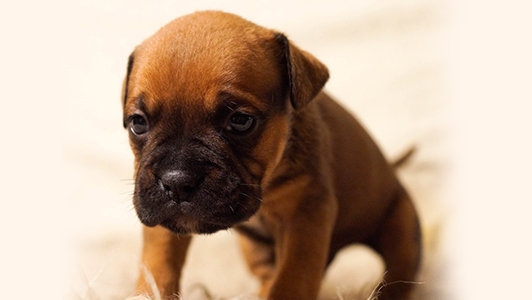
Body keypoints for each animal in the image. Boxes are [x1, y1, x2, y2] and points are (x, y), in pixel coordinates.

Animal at [122, 10, 422, 300]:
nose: (177, 181)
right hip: (253, 248)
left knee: (398, 273)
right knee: (267, 272)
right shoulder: (162, 222)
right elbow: (158, 267)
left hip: (402, 226)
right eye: (138, 123)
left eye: (241, 120)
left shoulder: (305, 217)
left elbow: (292, 282)